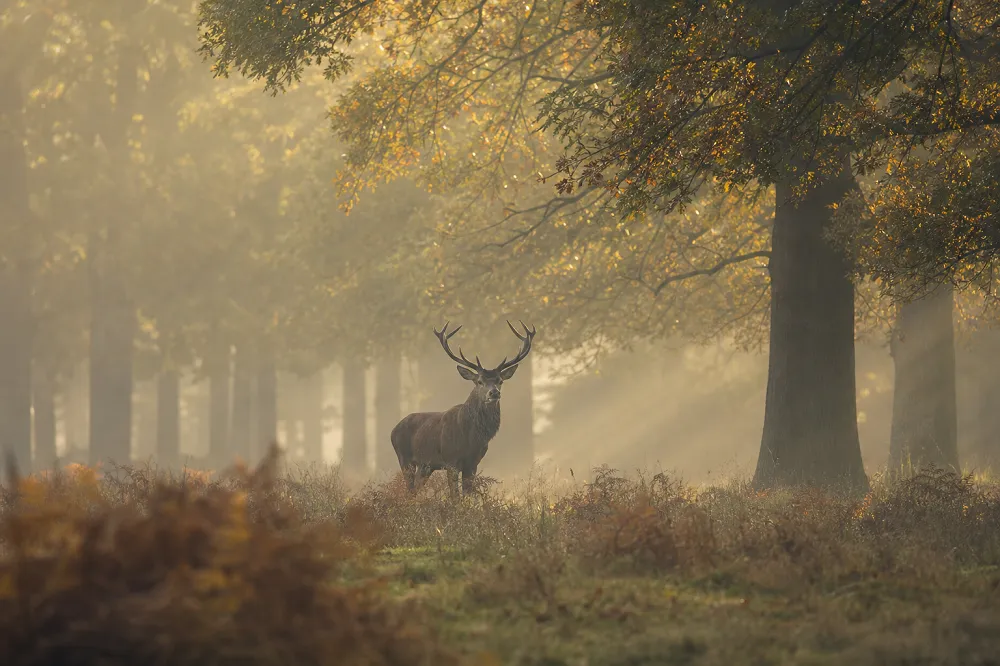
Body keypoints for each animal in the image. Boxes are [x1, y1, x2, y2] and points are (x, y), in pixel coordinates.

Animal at [390, 320, 535, 497]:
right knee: (408, 491)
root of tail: (393, 430)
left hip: (426, 466)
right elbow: (455, 497)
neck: (471, 438)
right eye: (479, 381)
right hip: (404, 458)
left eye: (500, 380)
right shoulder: (451, 460)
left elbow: (467, 495)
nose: (494, 393)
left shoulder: (473, 463)